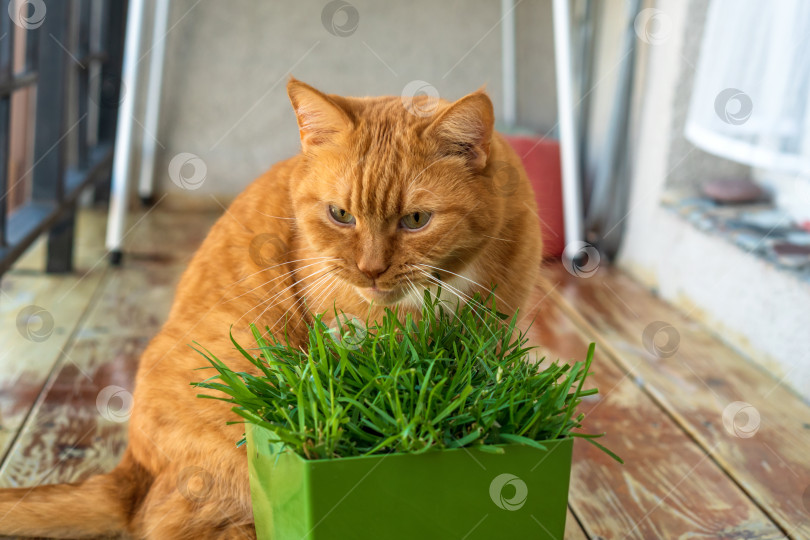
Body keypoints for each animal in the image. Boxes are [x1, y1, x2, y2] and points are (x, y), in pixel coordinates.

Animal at [1, 78, 544, 536]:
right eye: (340, 214)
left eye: (416, 220)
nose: (370, 269)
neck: (440, 291)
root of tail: (131, 462)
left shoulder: (489, 338)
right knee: (169, 523)